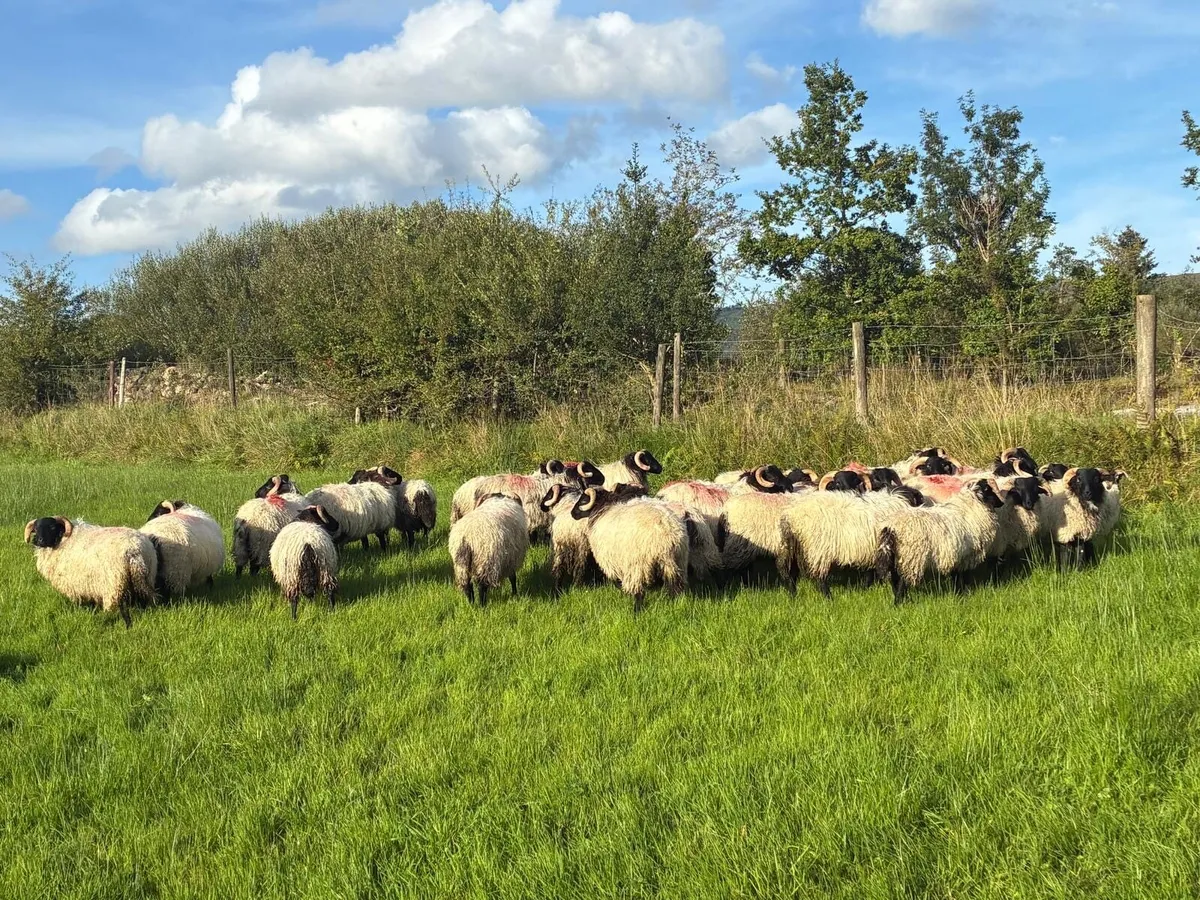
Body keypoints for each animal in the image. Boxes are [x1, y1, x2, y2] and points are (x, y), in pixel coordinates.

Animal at [24, 517, 159, 627]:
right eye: (36, 528)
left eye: (52, 527)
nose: (39, 540)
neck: (62, 541)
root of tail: (133, 550)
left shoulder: (73, 585)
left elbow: (77, 602)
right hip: (148, 576)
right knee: (149, 597)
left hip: (114, 584)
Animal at [875, 478, 1005, 603]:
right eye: (989, 490)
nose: (1002, 503)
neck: (970, 510)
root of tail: (891, 527)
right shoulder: (966, 556)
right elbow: (963, 577)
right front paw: (964, 593)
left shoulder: (956, 556)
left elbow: (955, 577)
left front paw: (957, 593)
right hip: (911, 557)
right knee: (902, 580)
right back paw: (899, 603)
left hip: (896, 557)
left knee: (895, 580)